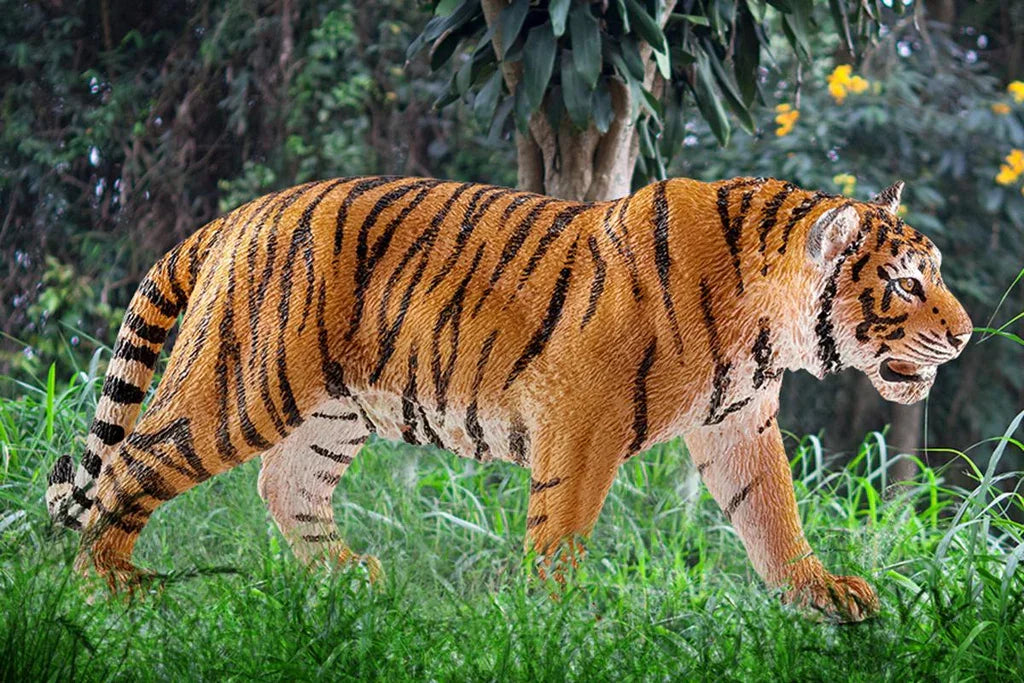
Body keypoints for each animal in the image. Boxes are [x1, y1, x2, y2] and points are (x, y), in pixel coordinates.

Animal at [45, 175, 971, 621]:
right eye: (905, 282)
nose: (964, 335)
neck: (767, 325)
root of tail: (236, 215)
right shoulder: (582, 417)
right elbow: (561, 526)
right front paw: (555, 622)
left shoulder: (739, 424)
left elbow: (772, 515)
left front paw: (820, 595)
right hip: (243, 386)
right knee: (133, 461)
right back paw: (107, 589)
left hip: (332, 410)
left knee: (286, 484)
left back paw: (351, 581)